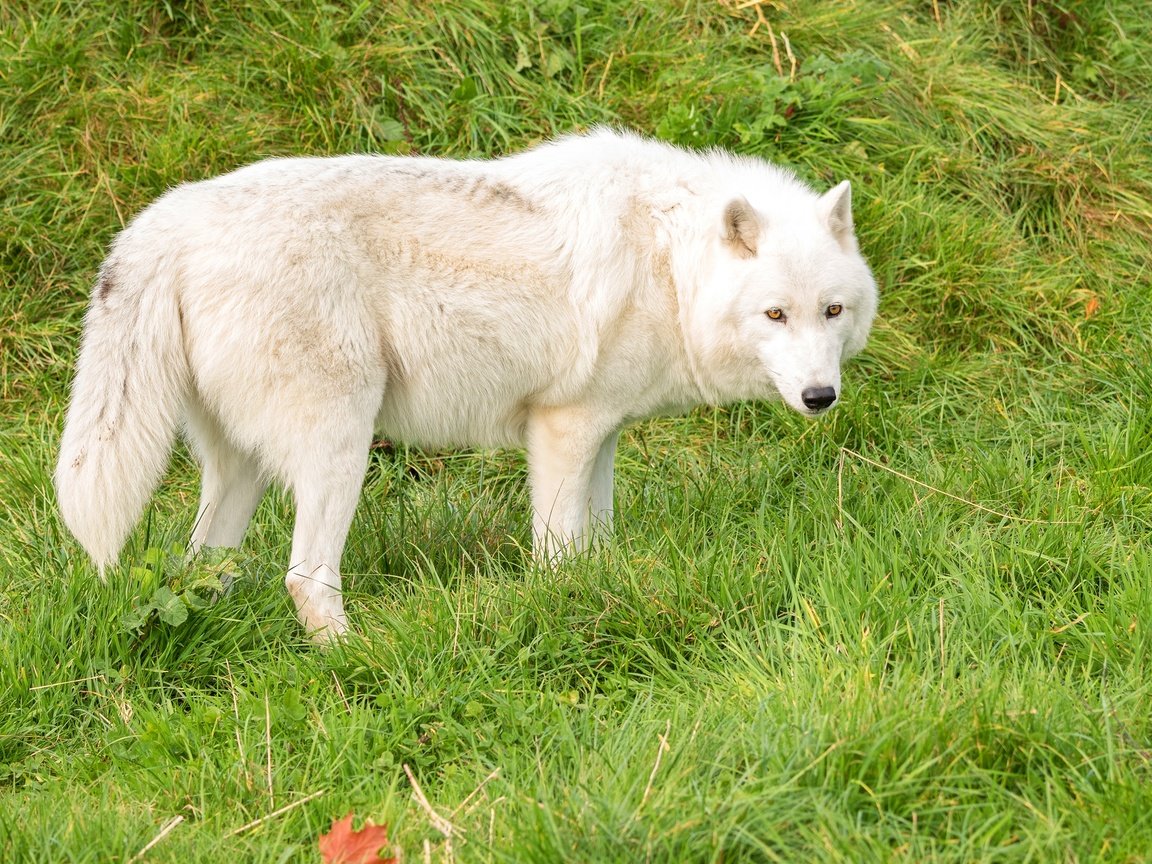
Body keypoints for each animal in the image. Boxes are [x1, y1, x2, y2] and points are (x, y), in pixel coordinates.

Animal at [56, 130, 870, 645]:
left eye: (832, 311)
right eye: (774, 314)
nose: (820, 398)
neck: (671, 264)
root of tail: (167, 220)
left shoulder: (601, 434)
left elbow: (598, 543)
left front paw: (605, 594)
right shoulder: (562, 428)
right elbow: (557, 554)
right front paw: (564, 610)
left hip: (242, 472)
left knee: (203, 568)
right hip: (339, 449)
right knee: (305, 577)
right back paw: (358, 656)